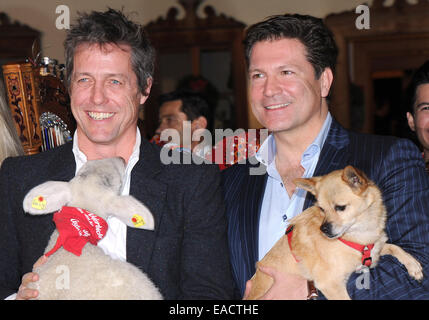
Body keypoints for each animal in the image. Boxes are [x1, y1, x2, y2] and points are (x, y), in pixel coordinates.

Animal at [246, 166, 422, 298]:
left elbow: (393, 246)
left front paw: (413, 264)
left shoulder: (374, 251)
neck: (357, 235)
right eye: (322, 209)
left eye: (340, 207)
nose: (323, 229)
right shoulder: (330, 284)